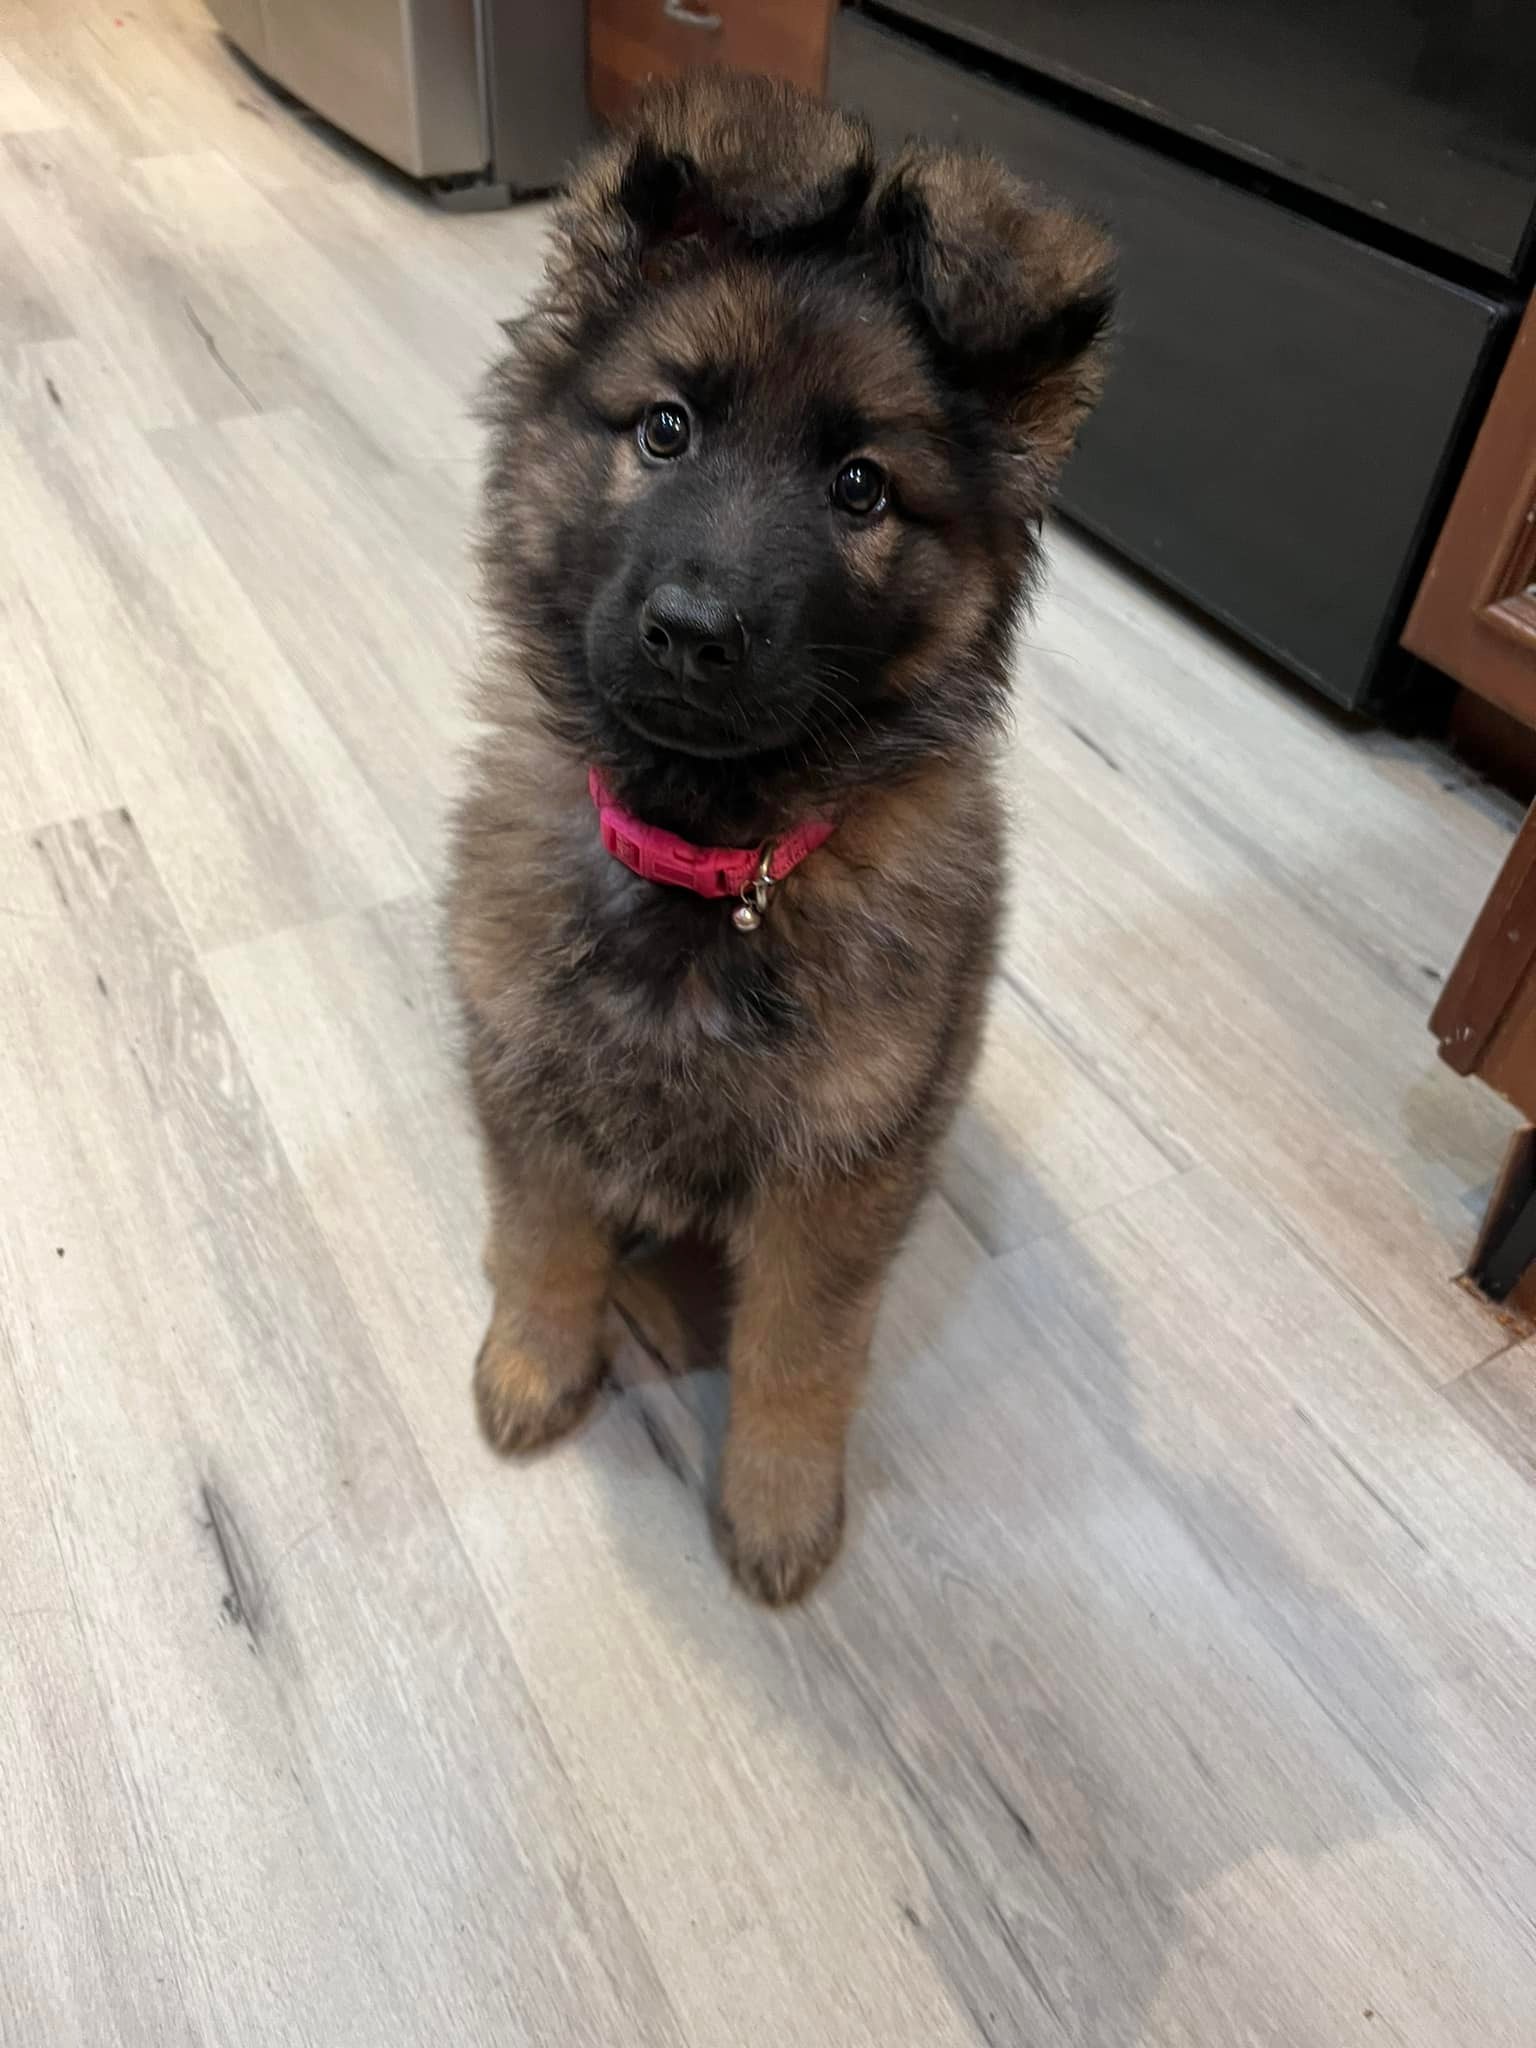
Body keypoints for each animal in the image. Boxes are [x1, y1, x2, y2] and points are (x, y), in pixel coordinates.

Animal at [448, 71, 1114, 1603]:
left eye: (861, 487)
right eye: (665, 431)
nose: (693, 632)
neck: (711, 862)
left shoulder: (839, 1171)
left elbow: (802, 1352)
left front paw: (777, 1499)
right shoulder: (525, 1079)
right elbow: (541, 1241)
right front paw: (534, 1362)